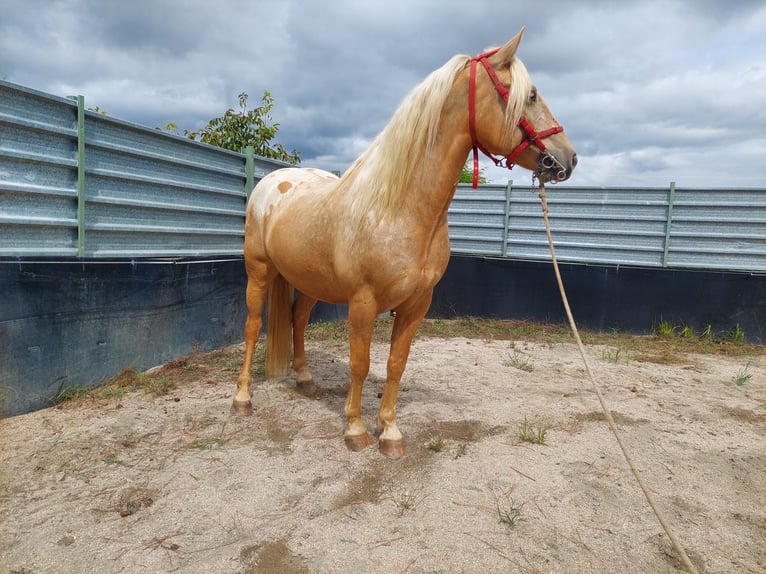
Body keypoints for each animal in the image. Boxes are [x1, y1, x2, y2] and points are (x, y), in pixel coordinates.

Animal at [231, 29, 580, 462]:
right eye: (530, 95)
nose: (568, 158)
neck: (398, 209)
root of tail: (272, 182)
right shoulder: (363, 304)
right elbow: (360, 364)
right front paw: (356, 429)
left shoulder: (417, 305)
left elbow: (396, 364)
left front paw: (390, 432)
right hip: (259, 272)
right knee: (251, 328)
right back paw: (242, 399)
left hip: (309, 281)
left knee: (297, 319)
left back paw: (305, 379)